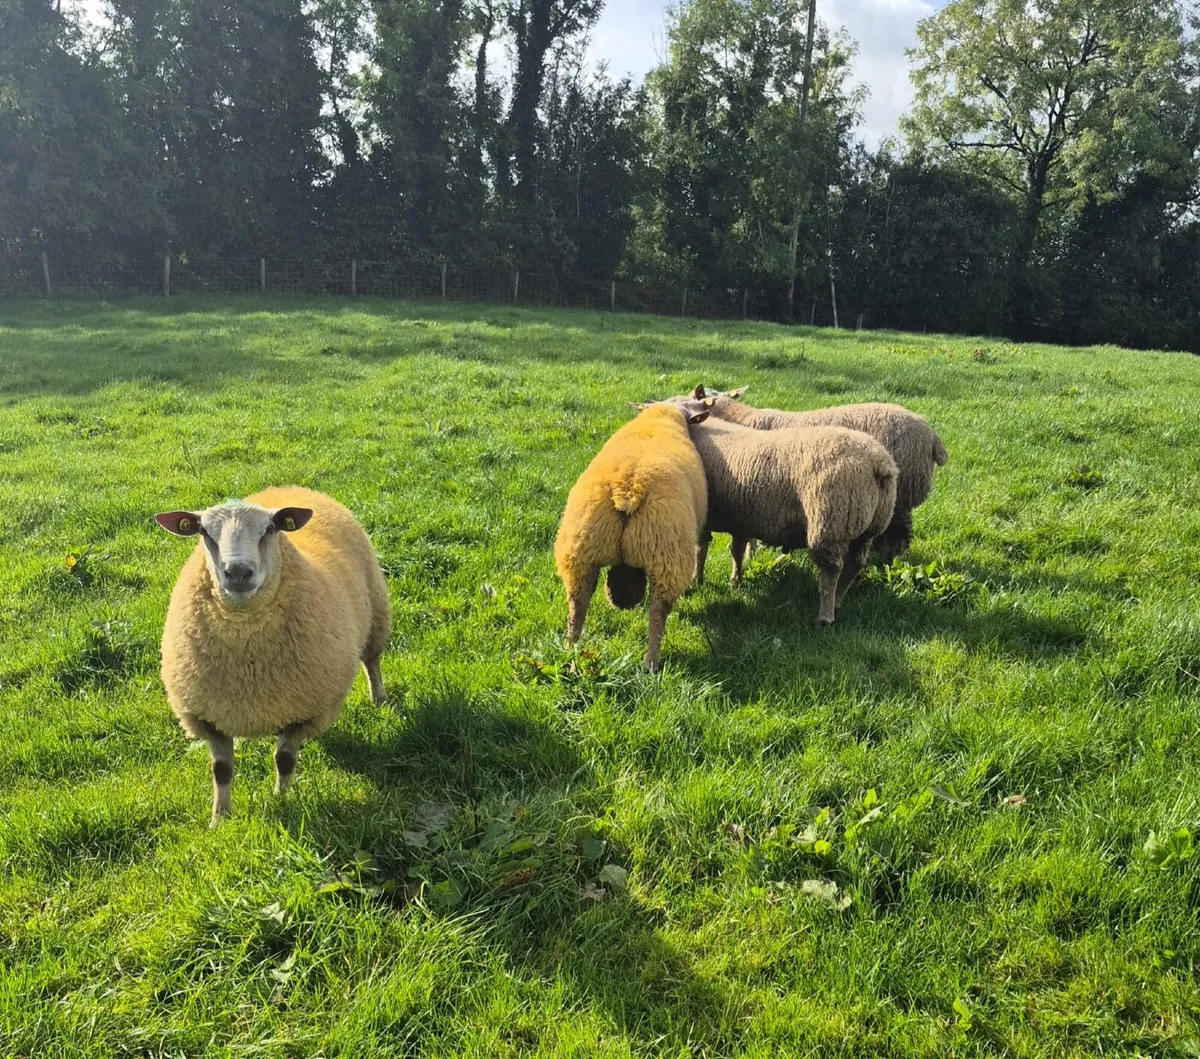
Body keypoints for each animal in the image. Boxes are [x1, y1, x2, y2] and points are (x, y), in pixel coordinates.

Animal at [154, 486, 391, 826]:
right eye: (204, 532)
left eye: (269, 529)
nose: (238, 572)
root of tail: (291, 488)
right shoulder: (208, 718)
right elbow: (221, 771)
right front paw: (219, 818)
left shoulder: (303, 711)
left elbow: (284, 759)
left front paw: (283, 799)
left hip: (376, 613)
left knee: (372, 661)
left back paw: (380, 697)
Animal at [554, 401, 709, 672]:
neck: (660, 418)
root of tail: (627, 487)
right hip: (667, 558)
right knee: (658, 613)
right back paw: (651, 664)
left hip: (579, 553)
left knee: (577, 605)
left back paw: (571, 653)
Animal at [666, 397, 898, 625]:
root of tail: (879, 464)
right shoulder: (741, 518)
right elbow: (736, 551)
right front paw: (735, 580)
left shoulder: (706, 516)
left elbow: (701, 550)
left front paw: (697, 580)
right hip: (868, 527)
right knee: (855, 564)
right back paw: (839, 600)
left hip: (830, 523)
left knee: (831, 571)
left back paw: (825, 616)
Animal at [690, 385, 947, 561]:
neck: (742, 420)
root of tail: (933, 437)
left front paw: (751, 554)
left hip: (900, 494)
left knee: (899, 535)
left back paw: (891, 559)